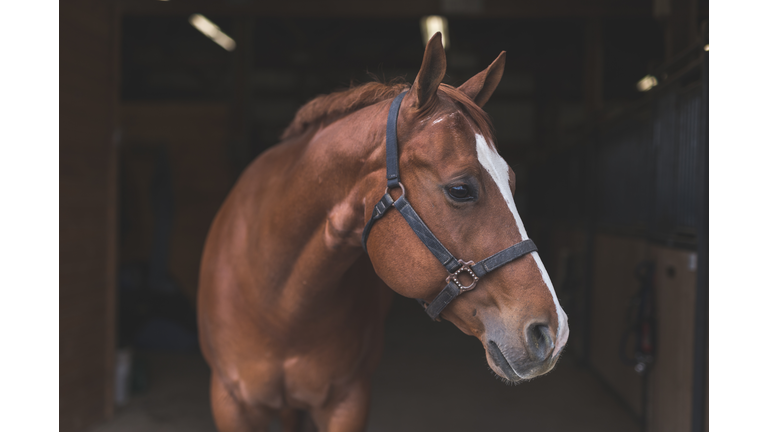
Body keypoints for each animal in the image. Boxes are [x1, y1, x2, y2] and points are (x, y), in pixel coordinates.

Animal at [198, 33, 568, 432]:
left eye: (512, 181)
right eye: (460, 189)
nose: (553, 331)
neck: (280, 303)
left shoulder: (349, 401)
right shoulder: (231, 403)